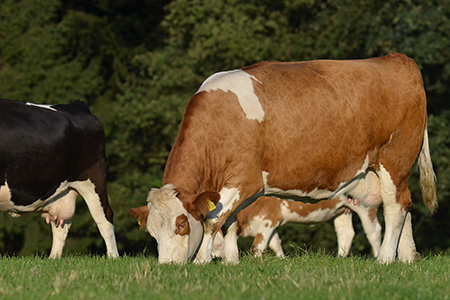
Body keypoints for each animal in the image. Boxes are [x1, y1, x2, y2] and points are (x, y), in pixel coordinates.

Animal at [0, 98, 119, 258]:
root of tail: (77, 106)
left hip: (94, 180)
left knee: (105, 218)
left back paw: (113, 257)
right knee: (61, 227)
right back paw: (53, 258)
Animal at [140, 52, 436, 264]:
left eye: (181, 224)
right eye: (151, 232)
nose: (167, 266)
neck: (221, 120)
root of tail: (397, 58)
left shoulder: (244, 180)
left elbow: (214, 219)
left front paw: (202, 261)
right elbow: (231, 220)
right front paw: (230, 261)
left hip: (395, 157)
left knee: (395, 207)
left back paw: (385, 259)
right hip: (384, 170)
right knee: (405, 204)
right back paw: (407, 257)